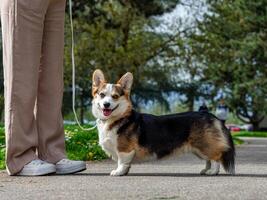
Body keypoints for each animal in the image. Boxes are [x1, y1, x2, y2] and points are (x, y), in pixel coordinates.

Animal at [92, 69, 237, 176]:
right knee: (208, 159)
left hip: (204, 144)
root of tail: (208, 114)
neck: (117, 118)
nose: (106, 105)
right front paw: (124, 172)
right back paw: (206, 170)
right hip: (200, 148)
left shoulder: (124, 149)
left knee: (216, 156)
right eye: (102, 95)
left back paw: (213, 172)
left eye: (115, 96)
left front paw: (118, 172)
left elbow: (122, 162)